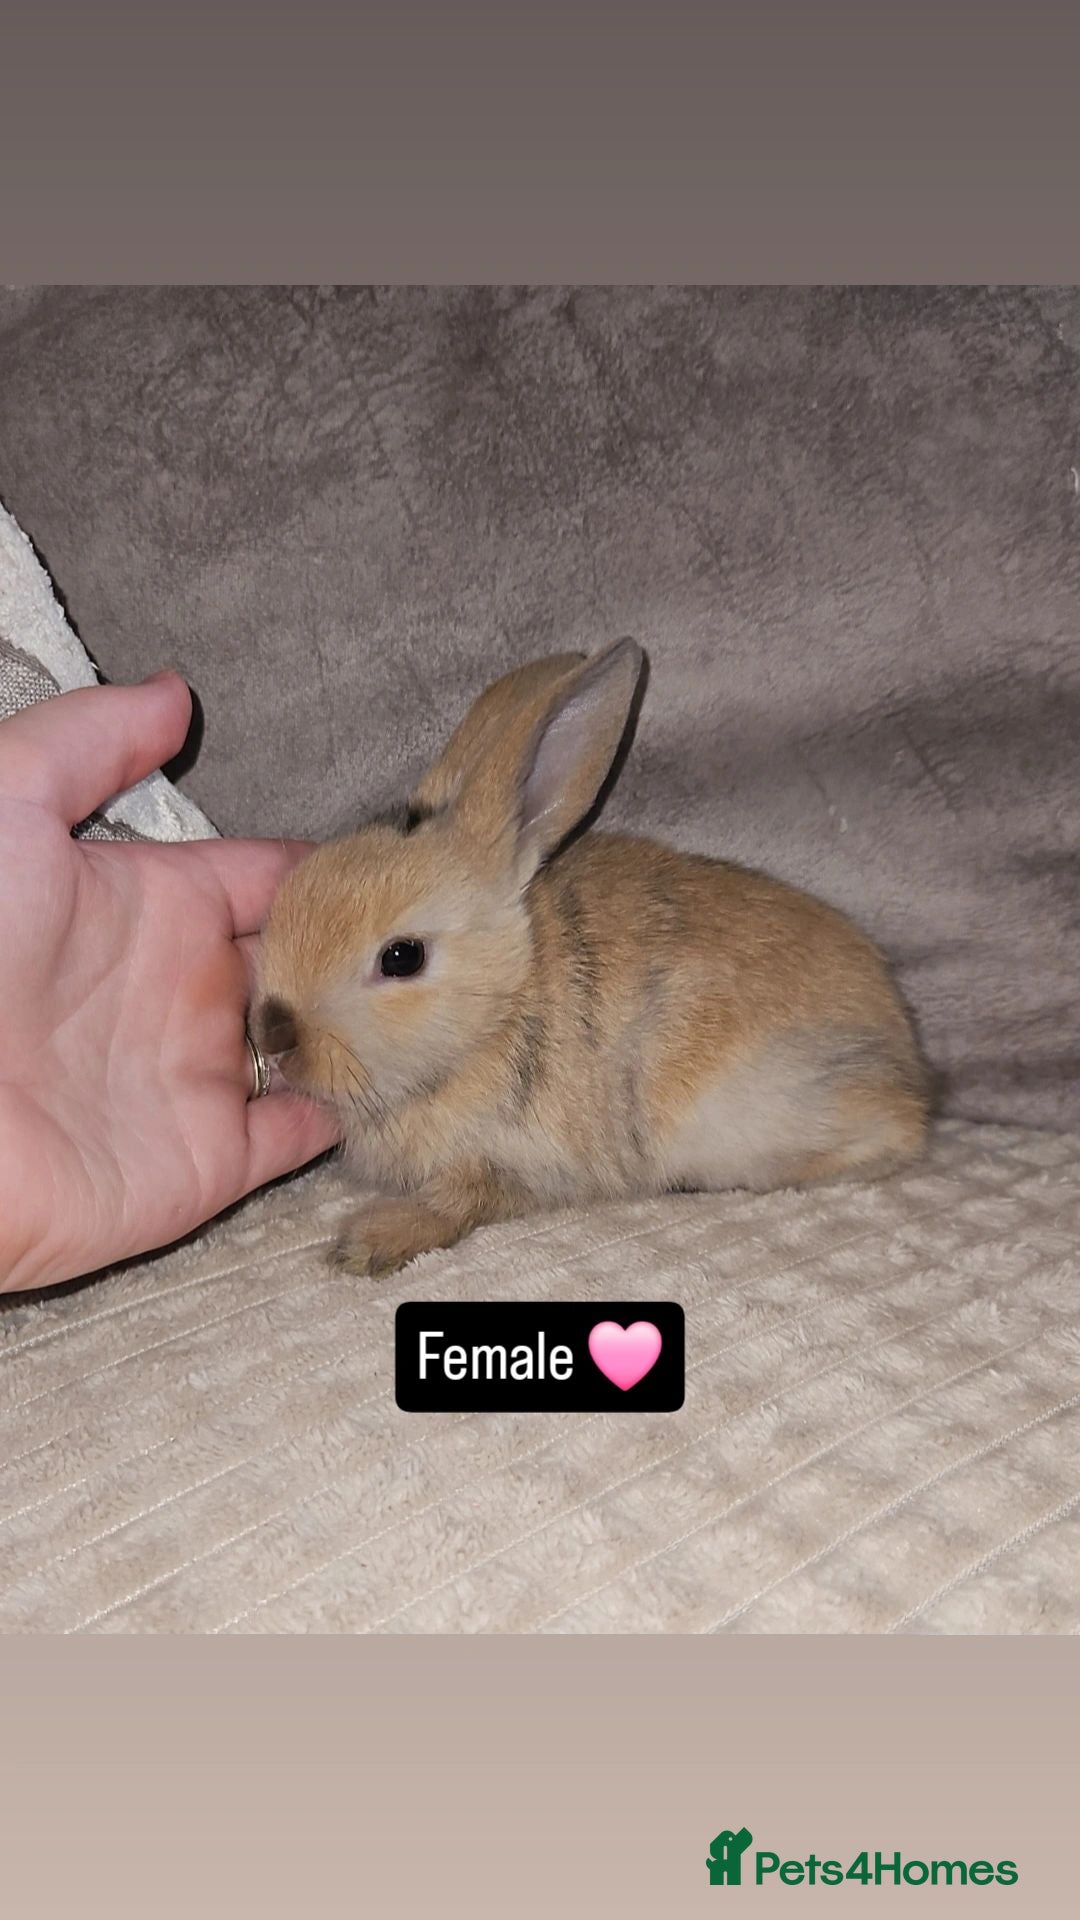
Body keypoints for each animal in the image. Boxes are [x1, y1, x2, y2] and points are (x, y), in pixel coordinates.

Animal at [253, 639, 930, 1275]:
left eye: (401, 957)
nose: (273, 1034)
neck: (498, 1013)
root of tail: (908, 1062)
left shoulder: (513, 1162)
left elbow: (458, 1202)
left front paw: (367, 1245)